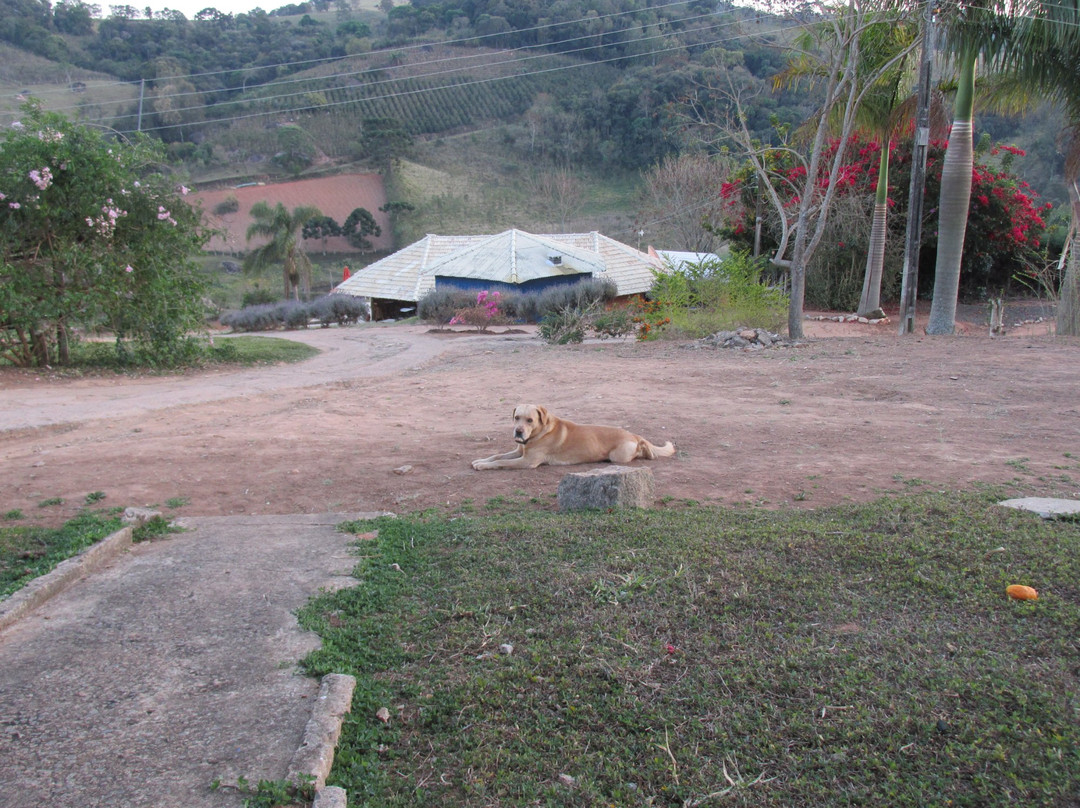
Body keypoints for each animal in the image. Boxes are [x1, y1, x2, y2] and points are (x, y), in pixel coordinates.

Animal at [472, 404, 675, 470]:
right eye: (517, 418)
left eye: (530, 420)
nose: (518, 432)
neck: (540, 432)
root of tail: (633, 434)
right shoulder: (519, 451)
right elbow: (497, 455)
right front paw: (480, 460)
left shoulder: (527, 461)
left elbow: (501, 462)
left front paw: (482, 466)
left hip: (618, 456)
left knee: (641, 452)